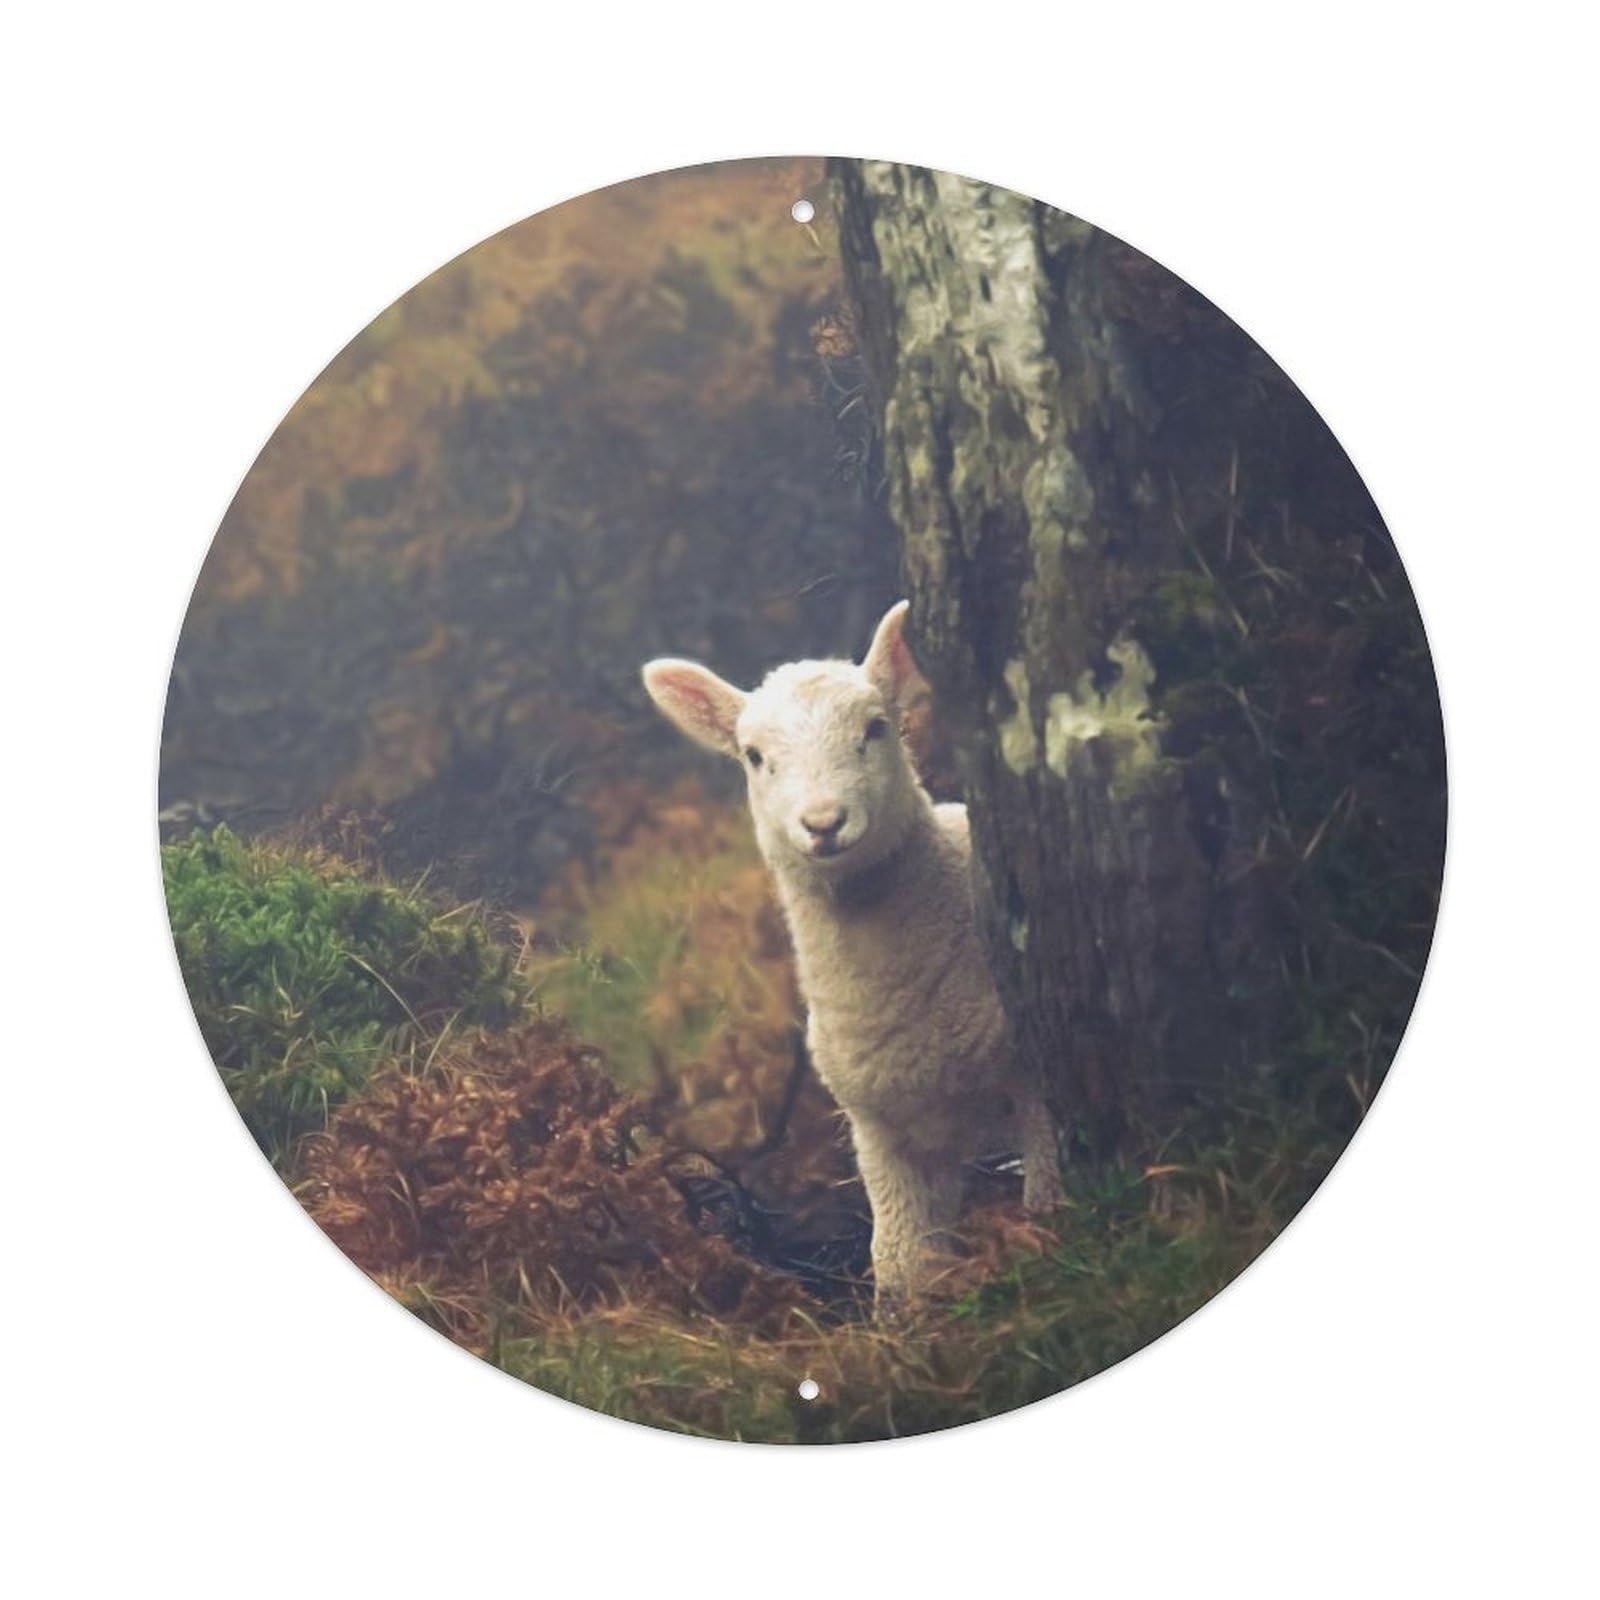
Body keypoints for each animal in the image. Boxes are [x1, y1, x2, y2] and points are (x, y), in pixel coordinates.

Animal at [643, 601, 1062, 1307]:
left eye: (876, 728)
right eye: (754, 756)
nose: (822, 822)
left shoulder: (1035, 1085)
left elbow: (1048, 1204)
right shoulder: (882, 1130)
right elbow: (896, 1263)